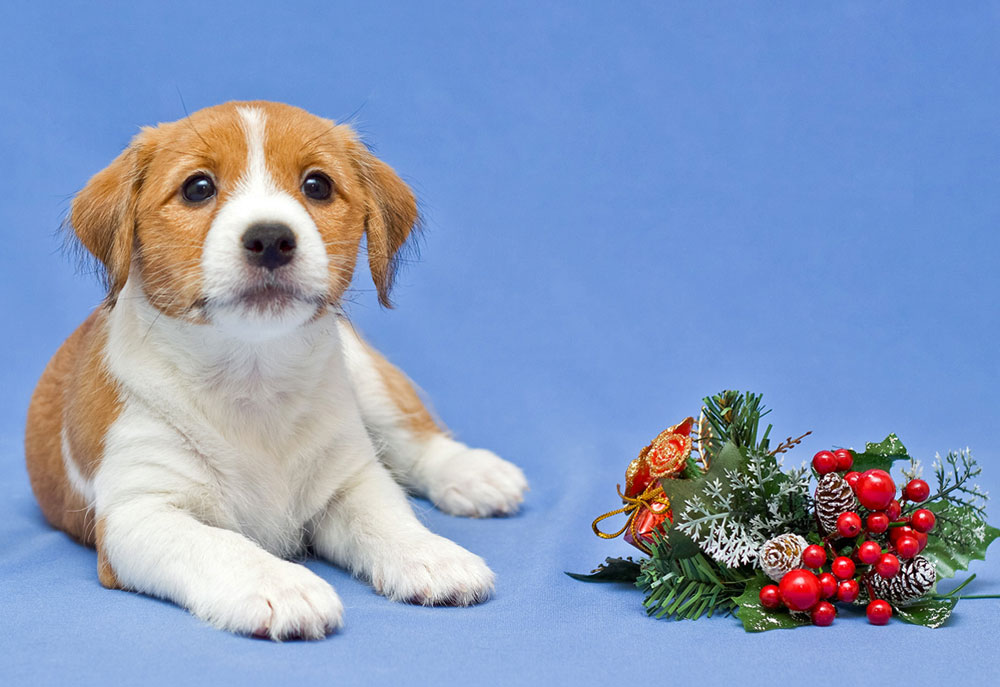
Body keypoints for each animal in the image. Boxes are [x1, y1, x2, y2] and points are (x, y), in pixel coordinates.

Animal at [23, 101, 528, 640]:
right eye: (198, 188)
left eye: (317, 185)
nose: (269, 238)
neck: (253, 379)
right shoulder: (140, 513)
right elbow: (219, 545)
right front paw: (278, 583)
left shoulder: (349, 480)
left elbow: (387, 515)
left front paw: (428, 553)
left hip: (368, 381)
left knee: (413, 437)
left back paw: (474, 473)